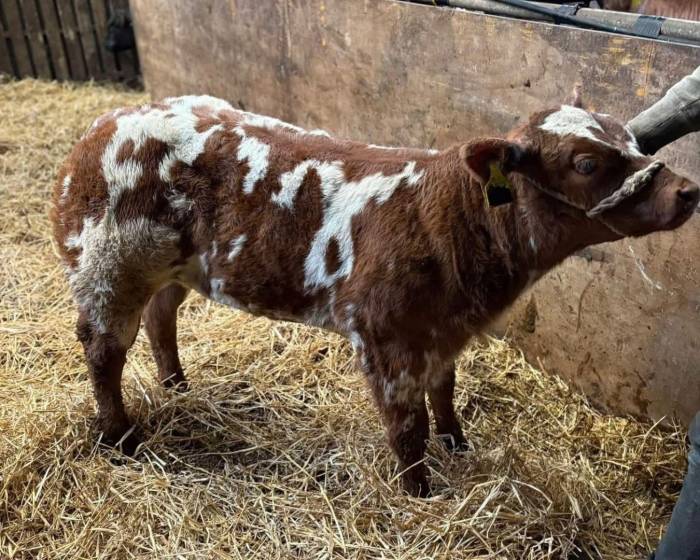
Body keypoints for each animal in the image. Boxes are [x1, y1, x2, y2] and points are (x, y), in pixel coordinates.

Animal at [51, 90, 699, 497]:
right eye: (585, 162)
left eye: (632, 139)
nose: (686, 190)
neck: (447, 216)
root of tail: (104, 124)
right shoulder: (384, 334)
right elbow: (406, 428)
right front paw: (419, 494)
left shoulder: (442, 329)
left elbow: (444, 391)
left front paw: (457, 442)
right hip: (107, 265)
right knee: (103, 350)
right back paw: (119, 436)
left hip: (172, 266)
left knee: (161, 317)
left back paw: (175, 384)